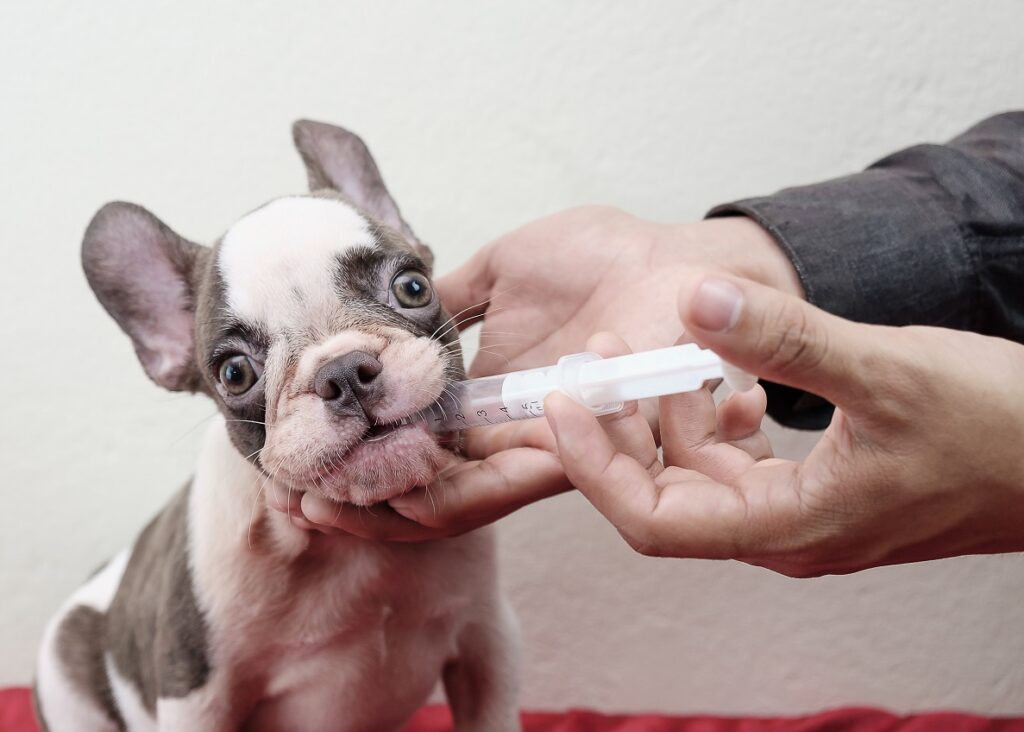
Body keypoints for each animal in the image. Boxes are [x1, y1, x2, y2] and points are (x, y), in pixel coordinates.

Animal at [33, 121, 520, 732]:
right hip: (67, 668)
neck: (354, 552)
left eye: (413, 287)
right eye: (235, 373)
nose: (344, 372)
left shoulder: (486, 643)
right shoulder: (196, 695)